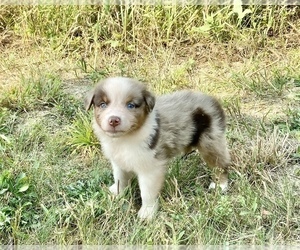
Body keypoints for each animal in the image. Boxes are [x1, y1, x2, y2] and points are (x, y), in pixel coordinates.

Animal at [85, 76, 231, 219]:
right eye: (103, 105)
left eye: (130, 105)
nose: (114, 120)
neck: (124, 139)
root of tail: (212, 99)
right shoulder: (118, 160)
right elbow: (120, 177)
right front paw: (117, 192)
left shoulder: (150, 167)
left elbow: (147, 192)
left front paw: (147, 213)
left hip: (211, 141)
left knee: (219, 163)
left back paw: (220, 185)